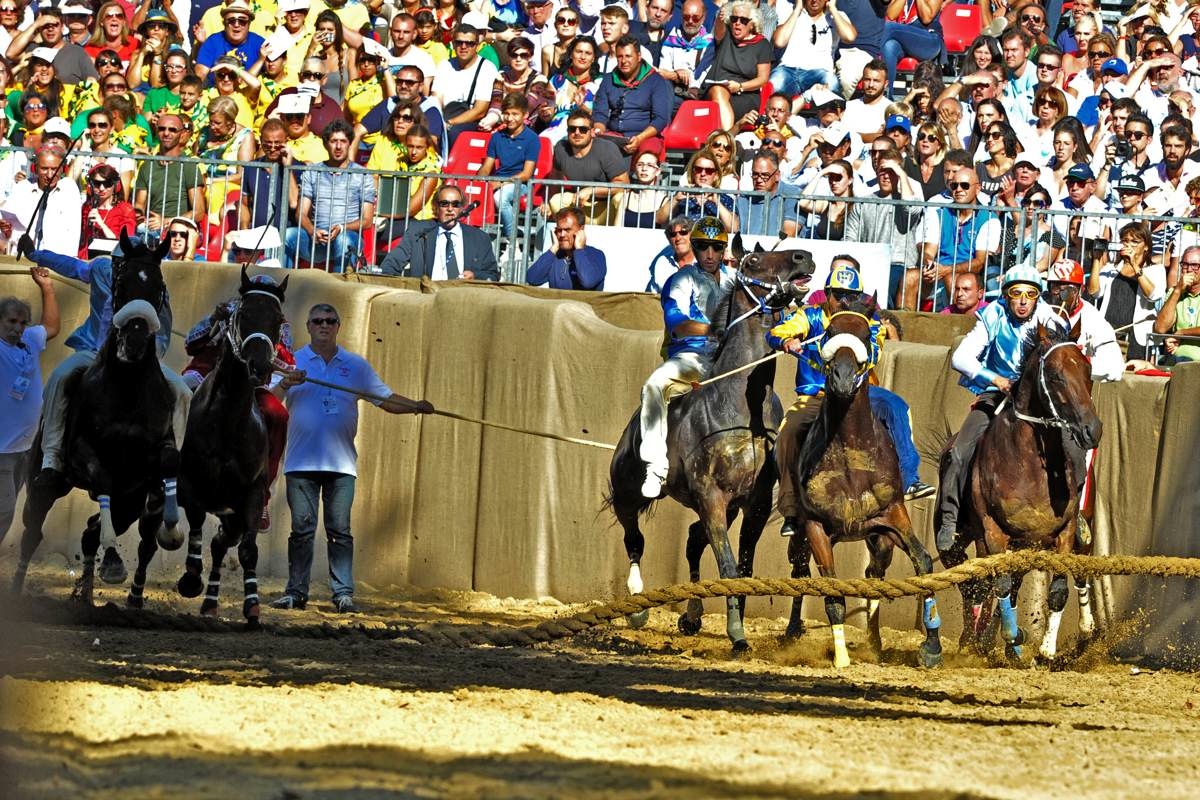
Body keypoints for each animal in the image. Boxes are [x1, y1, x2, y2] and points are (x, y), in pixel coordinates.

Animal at [11, 232, 182, 606]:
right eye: (121, 281)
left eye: (159, 286)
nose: (134, 341)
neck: (128, 387)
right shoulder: (82, 451)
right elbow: (100, 475)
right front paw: (115, 561)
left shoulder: (142, 470)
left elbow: (169, 459)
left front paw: (171, 528)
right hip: (45, 482)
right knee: (33, 531)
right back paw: (17, 589)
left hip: (128, 500)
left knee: (92, 531)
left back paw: (87, 596)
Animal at [175, 268, 288, 623]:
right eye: (243, 314)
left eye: (279, 318)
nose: (259, 366)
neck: (226, 420)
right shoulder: (191, 485)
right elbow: (196, 525)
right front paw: (190, 578)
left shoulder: (251, 493)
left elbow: (248, 550)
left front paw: (252, 604)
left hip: (232, 512)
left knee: (221, 543)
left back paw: (211, 603)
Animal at [609, 241, 816, 652]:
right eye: (754, 261)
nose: (804, 256)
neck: (739, 407)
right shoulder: (711, 497)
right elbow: (728, 565)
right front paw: (737, 634)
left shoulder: (753, 504)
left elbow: (744, 568)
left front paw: (735, 626)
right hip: (626, 493)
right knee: (634, 540)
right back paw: (637, 606)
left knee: (691, 541)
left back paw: (691, 615)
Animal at [940, 319, 1099, 662]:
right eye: (1055, 375)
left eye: (1088, 370)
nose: (1092, 429)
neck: (1027, 465)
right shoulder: (994, 533)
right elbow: (997, 584)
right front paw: (1012, 635)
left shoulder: (1063, 532)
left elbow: (1058, 590)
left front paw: (1046, 649)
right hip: (962, 545)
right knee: (977, 584)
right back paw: (980, 640)